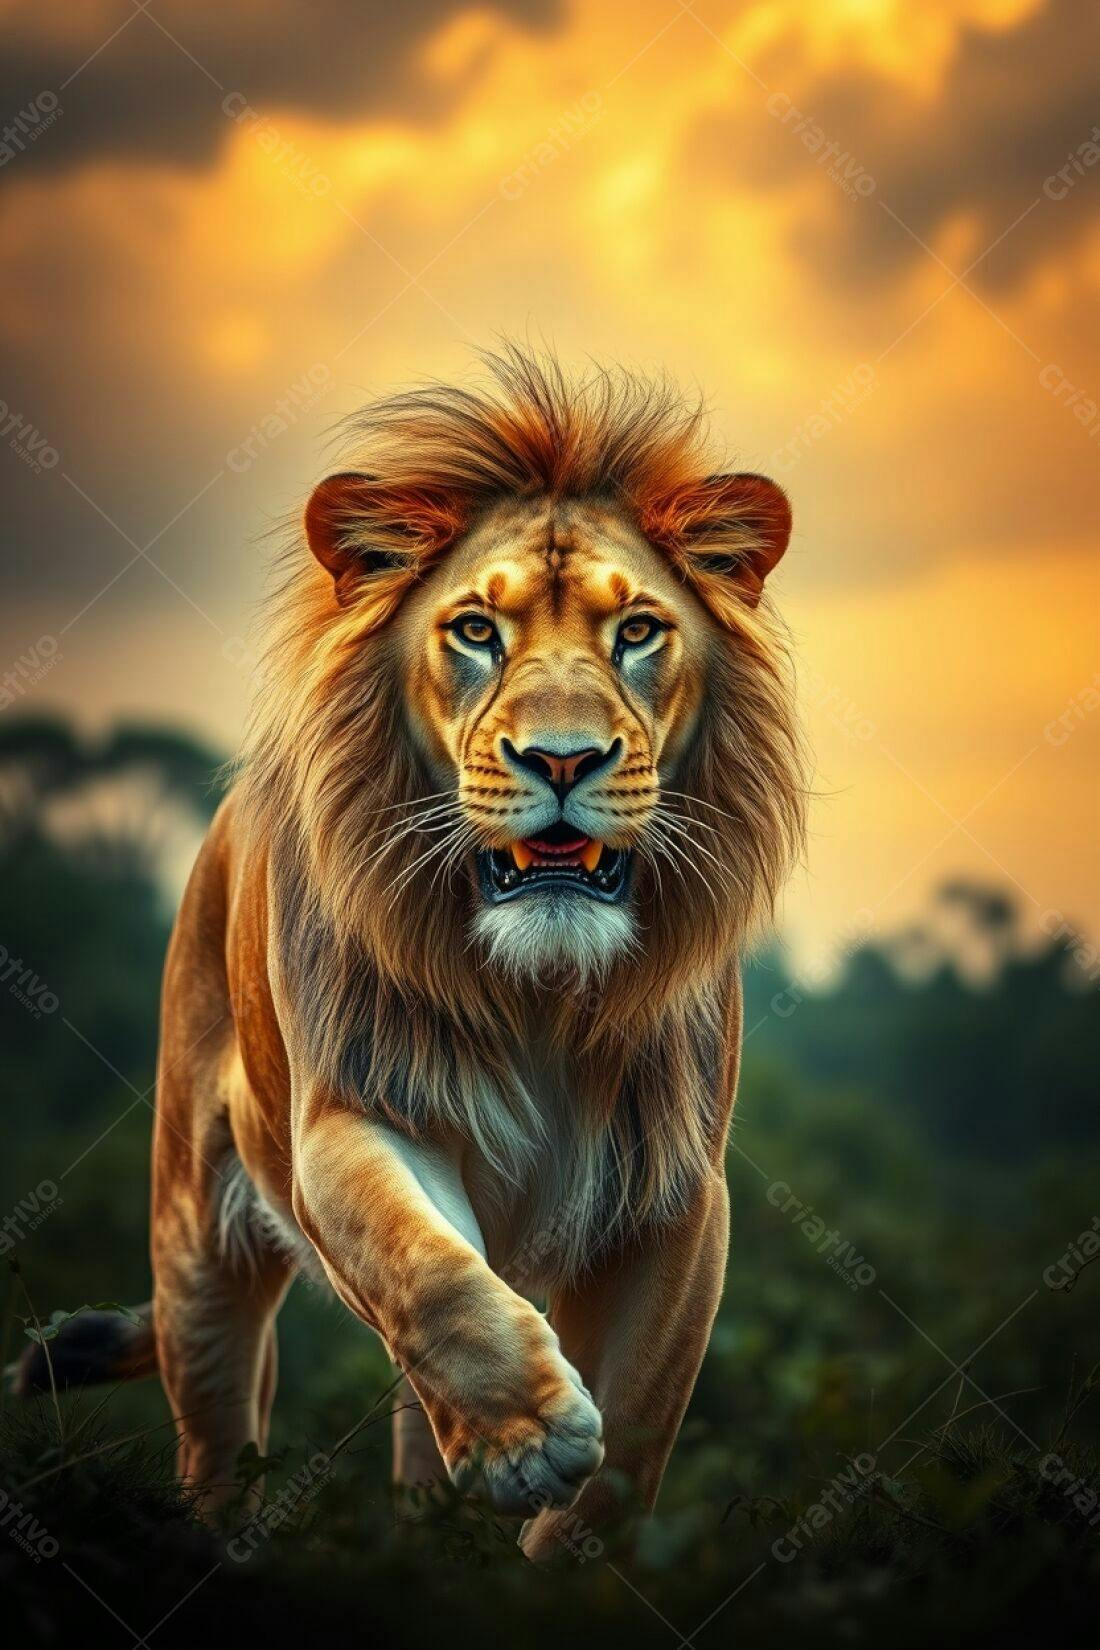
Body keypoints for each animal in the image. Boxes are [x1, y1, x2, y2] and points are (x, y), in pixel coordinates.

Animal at [19, 345, 805, 1559]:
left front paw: (554, 1555)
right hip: (198, 1243)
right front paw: (529, 1438)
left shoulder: (675, 1197)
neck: (540, 989)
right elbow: (427, 1272)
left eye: (637, 632)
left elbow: (628, 1443)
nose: (562, 759)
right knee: (217, 1436)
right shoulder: (355, 1113)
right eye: (476, 631)